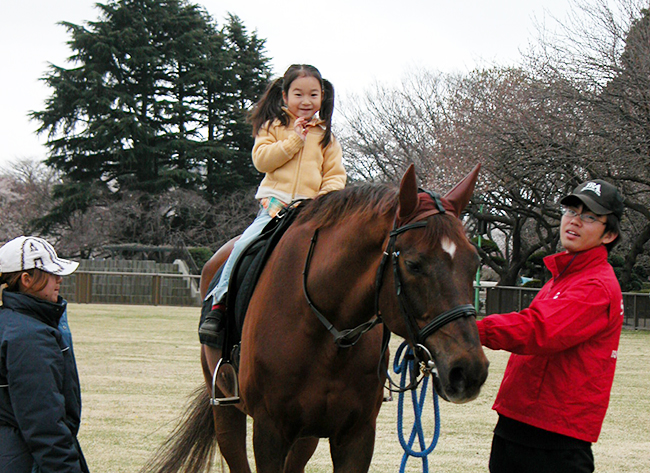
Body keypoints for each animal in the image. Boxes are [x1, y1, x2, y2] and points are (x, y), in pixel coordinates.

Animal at [142, 164, 486, 470]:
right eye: (414, 264)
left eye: (474, 262)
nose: (468, 370)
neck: (326, 334)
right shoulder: (270, 433)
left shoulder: (356, 436)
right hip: (227, 412)